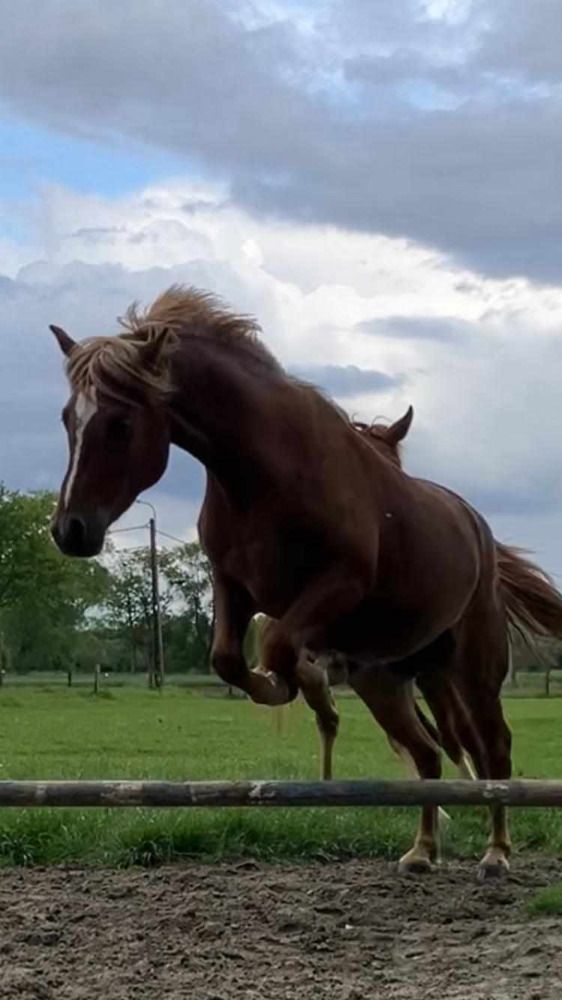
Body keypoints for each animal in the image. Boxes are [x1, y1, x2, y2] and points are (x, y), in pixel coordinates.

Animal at [49, 285, 562, 878]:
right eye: (67, 418)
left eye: (120, 424)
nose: (70, 530)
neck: (263, 472)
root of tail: (477, 528)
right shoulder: (233, 585)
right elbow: (227, 658)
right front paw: (282, 685)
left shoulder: (337, 584)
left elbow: (275, 645)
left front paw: (285, 684)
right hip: (386, 678)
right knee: (429, 752)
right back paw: (421, 850)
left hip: (473, 667)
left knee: (492, 749)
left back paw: (496, 852)